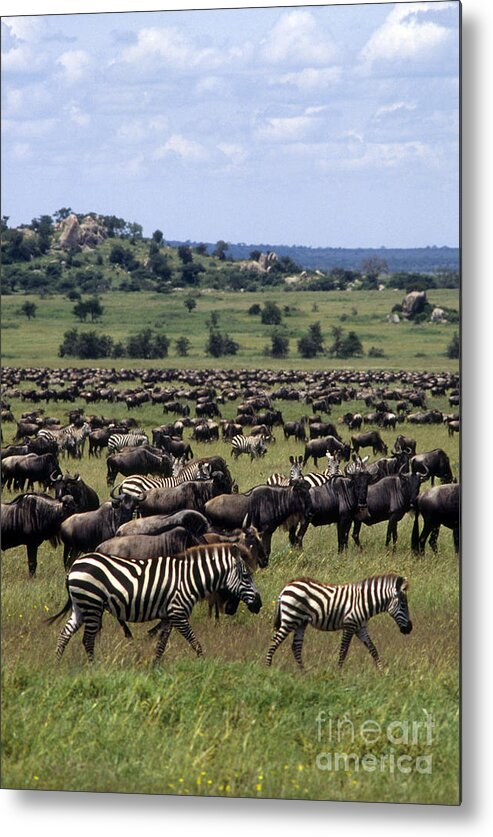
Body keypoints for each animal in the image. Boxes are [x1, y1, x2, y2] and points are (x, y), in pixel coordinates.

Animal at [48, 544, 264, 668]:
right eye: (246, 576)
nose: (259, 604)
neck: (189, 579)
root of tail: (75, 566)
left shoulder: (169, 616)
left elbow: (161, 644)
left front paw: (155, 666)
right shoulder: (178, 612)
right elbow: (194, 641)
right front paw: (204, 663)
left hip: (80, 606)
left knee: (64, 634)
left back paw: (56, 664)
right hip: (91, 603)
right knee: (87, 639)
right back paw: (93, 668)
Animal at [266, 572, 412, 668]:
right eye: (403, 605)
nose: (409, 629)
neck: (364, 601)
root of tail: (286, 587)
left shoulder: (360, 627)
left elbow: (373, 649)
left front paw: (381, 671)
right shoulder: (349, 625)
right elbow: (343, 651)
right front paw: (339, 672)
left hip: (301, 622)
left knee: (296, 646)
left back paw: (303, 672)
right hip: (290, 619)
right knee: (274, 641)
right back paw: (268, 668)